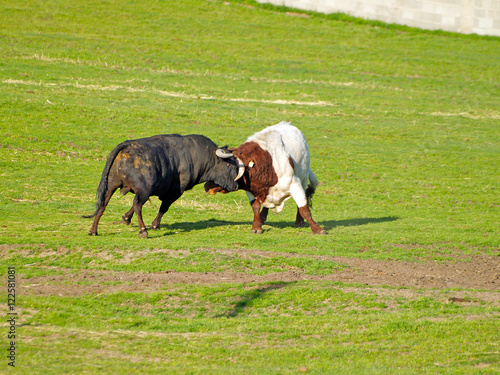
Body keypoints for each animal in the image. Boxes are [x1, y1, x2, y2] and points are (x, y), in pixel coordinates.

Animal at [84, 134, 240, 236]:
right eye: (228, 165)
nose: (236, 186)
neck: (196, 155)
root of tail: (127, 146)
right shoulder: (176, 191)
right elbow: (164, 207)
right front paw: (155, 225)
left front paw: (126, 218)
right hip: (144, 189)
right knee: (137, 205)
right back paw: (143, 231)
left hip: (111, 186)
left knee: (103, 205)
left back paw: (93, 231)